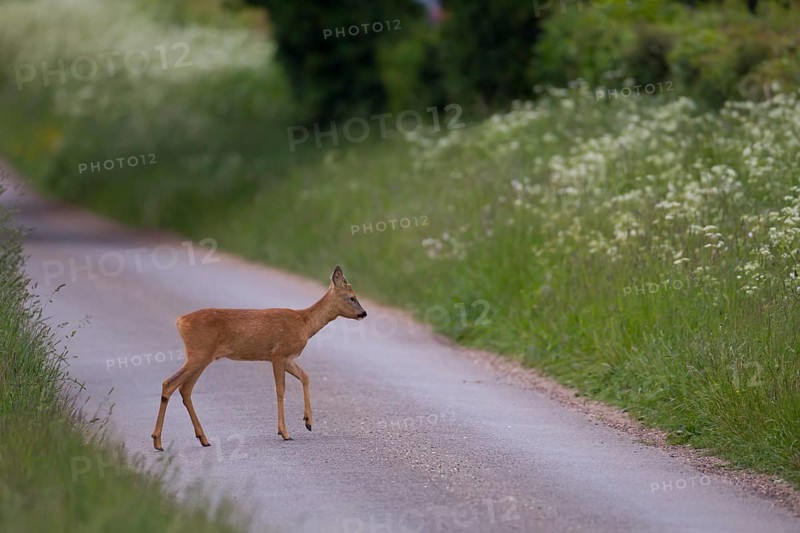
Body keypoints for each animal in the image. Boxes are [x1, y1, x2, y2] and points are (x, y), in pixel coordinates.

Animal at [151, 265, 367, 451]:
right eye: (352, 297)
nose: (363, 313)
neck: (304, 324)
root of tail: (180, 321)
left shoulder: (287, 358)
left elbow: (305, 377)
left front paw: (308, 422)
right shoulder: (278, 354)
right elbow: (280, 390)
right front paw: (284, 432)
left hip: (201, 357)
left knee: (185, 389)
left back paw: (203, 438)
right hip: (199, 354)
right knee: (170, 383)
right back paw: (158, 442)